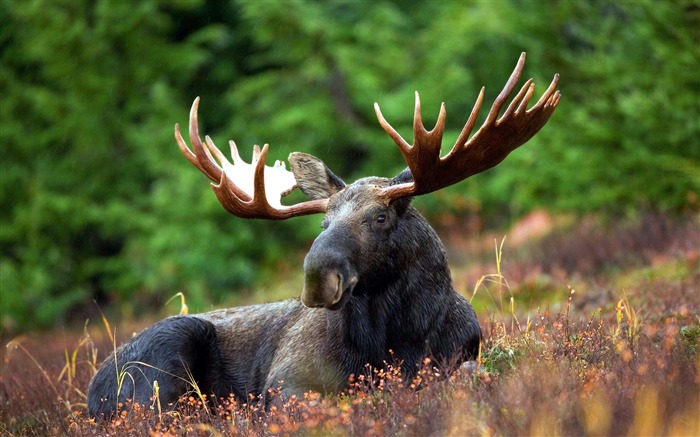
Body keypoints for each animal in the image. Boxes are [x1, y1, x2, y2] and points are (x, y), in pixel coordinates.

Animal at [87, 52, 560, 416]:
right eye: (323, 222)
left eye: (380, 217)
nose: (317, 277)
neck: (399, 338)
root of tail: (92, 392)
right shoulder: (286, 381)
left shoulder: (462, 355)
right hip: (163, 359)